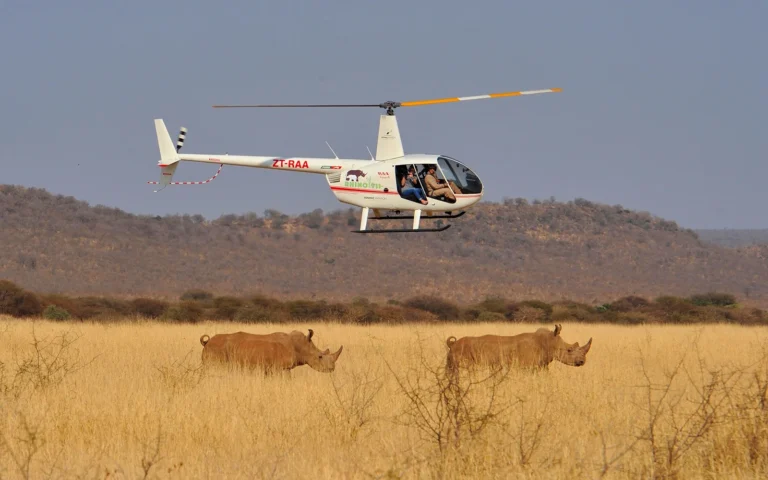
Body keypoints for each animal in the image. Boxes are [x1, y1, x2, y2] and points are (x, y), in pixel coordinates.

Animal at [199, 328, 343, 373]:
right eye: (320, 357)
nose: (332, 369)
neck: (301, 346)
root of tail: (207, 342)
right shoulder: (282, 368)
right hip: (216, 351)